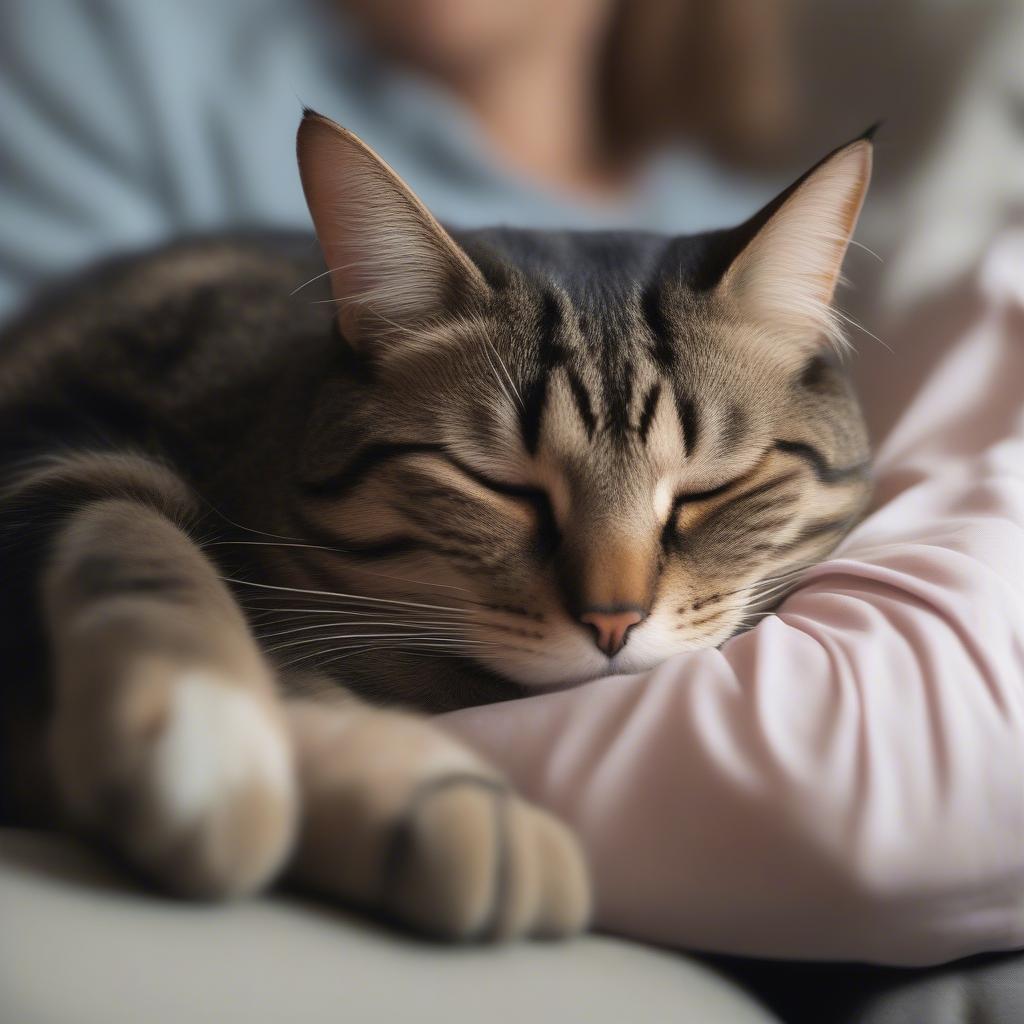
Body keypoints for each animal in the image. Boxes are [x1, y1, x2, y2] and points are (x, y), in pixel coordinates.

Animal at [0, 110, 872, 937]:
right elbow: (148, 551)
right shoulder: (51, 444)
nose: (613, 621)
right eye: (502, 487)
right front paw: (217, 746)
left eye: (708, 490)